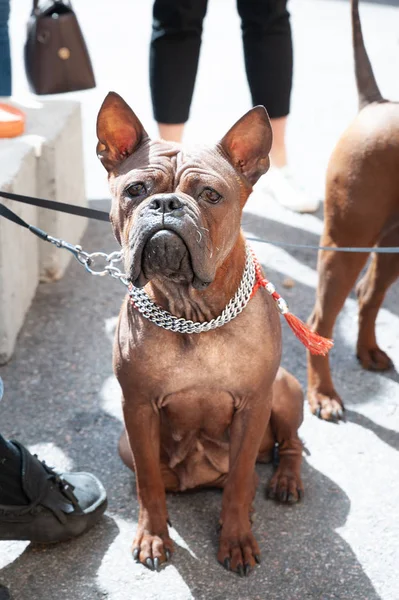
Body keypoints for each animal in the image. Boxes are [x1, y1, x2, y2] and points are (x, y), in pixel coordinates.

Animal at [97, 91, 306, 576]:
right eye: (136, 190)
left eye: (211, 195)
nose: (166, 204)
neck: (192, 310)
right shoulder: (137, 408)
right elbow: (148, 483)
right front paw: (154, 535)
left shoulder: (254, 404)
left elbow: (242, 479)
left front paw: (237, 538)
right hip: (124, 442)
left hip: (286, 389)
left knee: (290, 445)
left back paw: (284, 481)